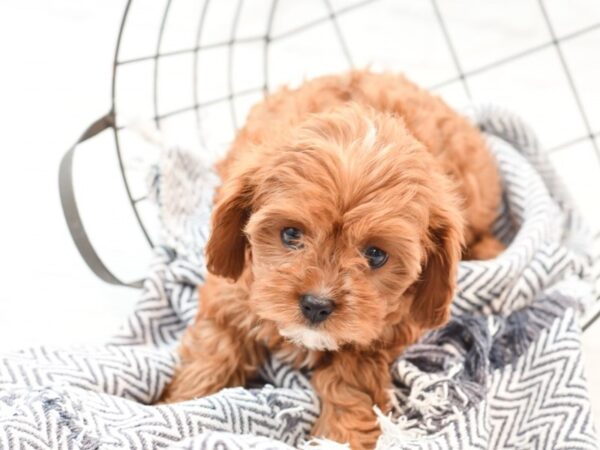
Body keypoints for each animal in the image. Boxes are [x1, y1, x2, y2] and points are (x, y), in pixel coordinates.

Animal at [161, 71, 502, 450]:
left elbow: (349, 383)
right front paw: (182, 401)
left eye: (376, 254)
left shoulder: (378, 334)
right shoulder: (230, 296)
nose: (316, 305)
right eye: (290, 234)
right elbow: (212, 352)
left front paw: (338, 435)